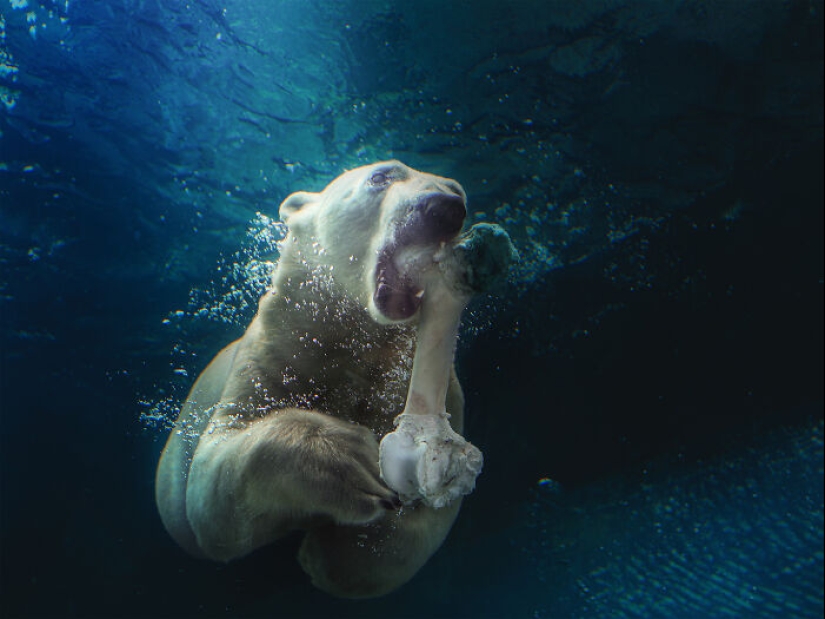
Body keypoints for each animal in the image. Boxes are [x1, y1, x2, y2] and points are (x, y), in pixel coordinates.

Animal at [155, 160, 514, 598]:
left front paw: (328, 553)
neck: (351, 338)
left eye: (458, 190)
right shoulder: (274, 353)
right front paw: (350, 461)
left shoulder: (436, 390)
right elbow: (210, 482)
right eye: (381, 175)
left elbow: (425, 525)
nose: (444, 207)